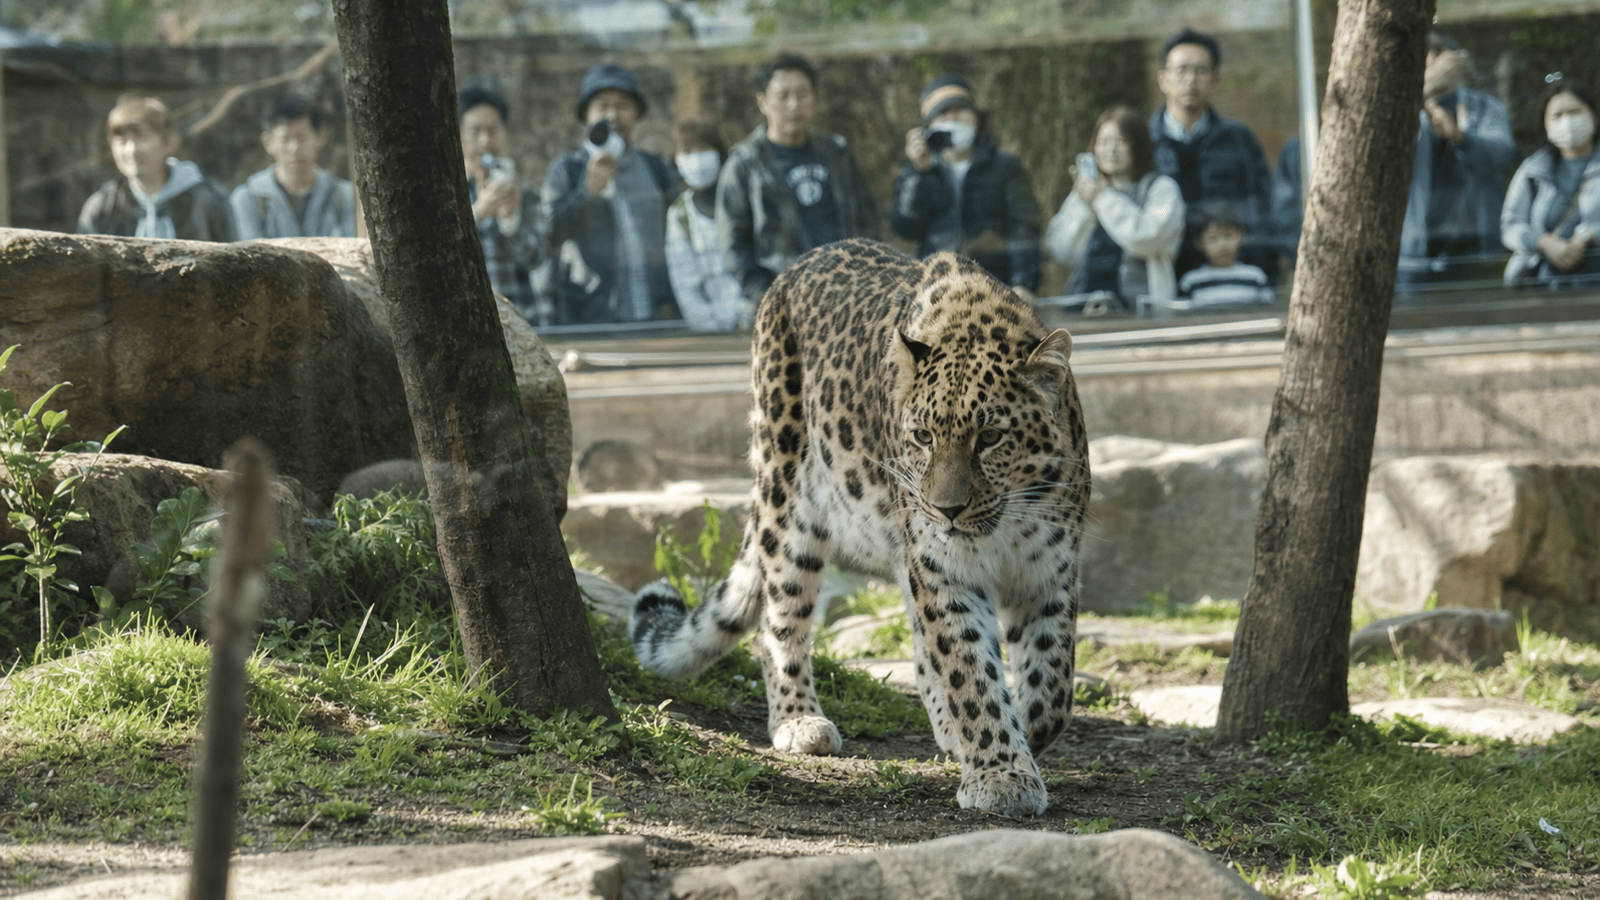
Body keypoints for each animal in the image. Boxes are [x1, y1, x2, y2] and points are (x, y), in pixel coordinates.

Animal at [629, 238, 1088, 816]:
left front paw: (1010, 741)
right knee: (780, 621)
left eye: (990, 437)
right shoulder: (942, 569)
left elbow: (1053, 688)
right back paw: (798, 720)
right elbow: (968, 670)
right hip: (787, 501)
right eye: (922, 437)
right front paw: (999, 771)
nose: (946, 509)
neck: (1006, 525)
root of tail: (797, 265)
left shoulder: (1050, 571)